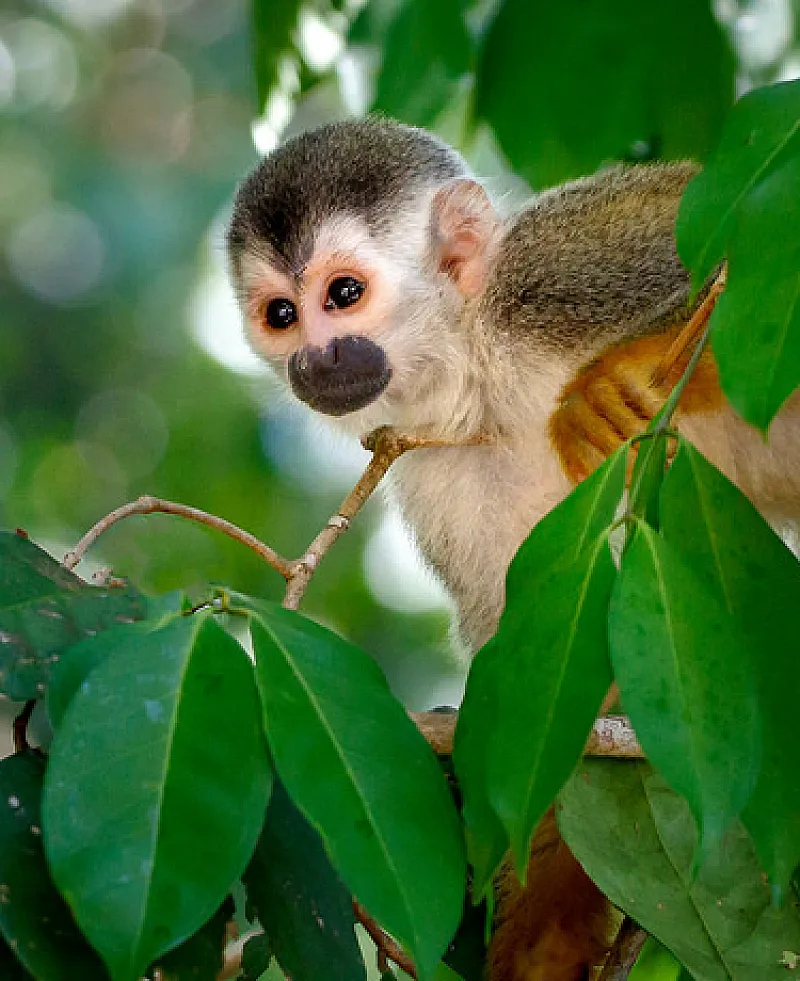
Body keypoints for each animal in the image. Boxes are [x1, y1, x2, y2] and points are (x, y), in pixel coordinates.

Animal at [225, 120, 800, 980]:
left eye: (344, 295)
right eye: (282, 313)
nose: (314, 361)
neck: (479, 364)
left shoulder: (552, 273)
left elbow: (731, 227)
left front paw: (618, 375)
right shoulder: (438, 465)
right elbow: (549, 684)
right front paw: (537, 947)